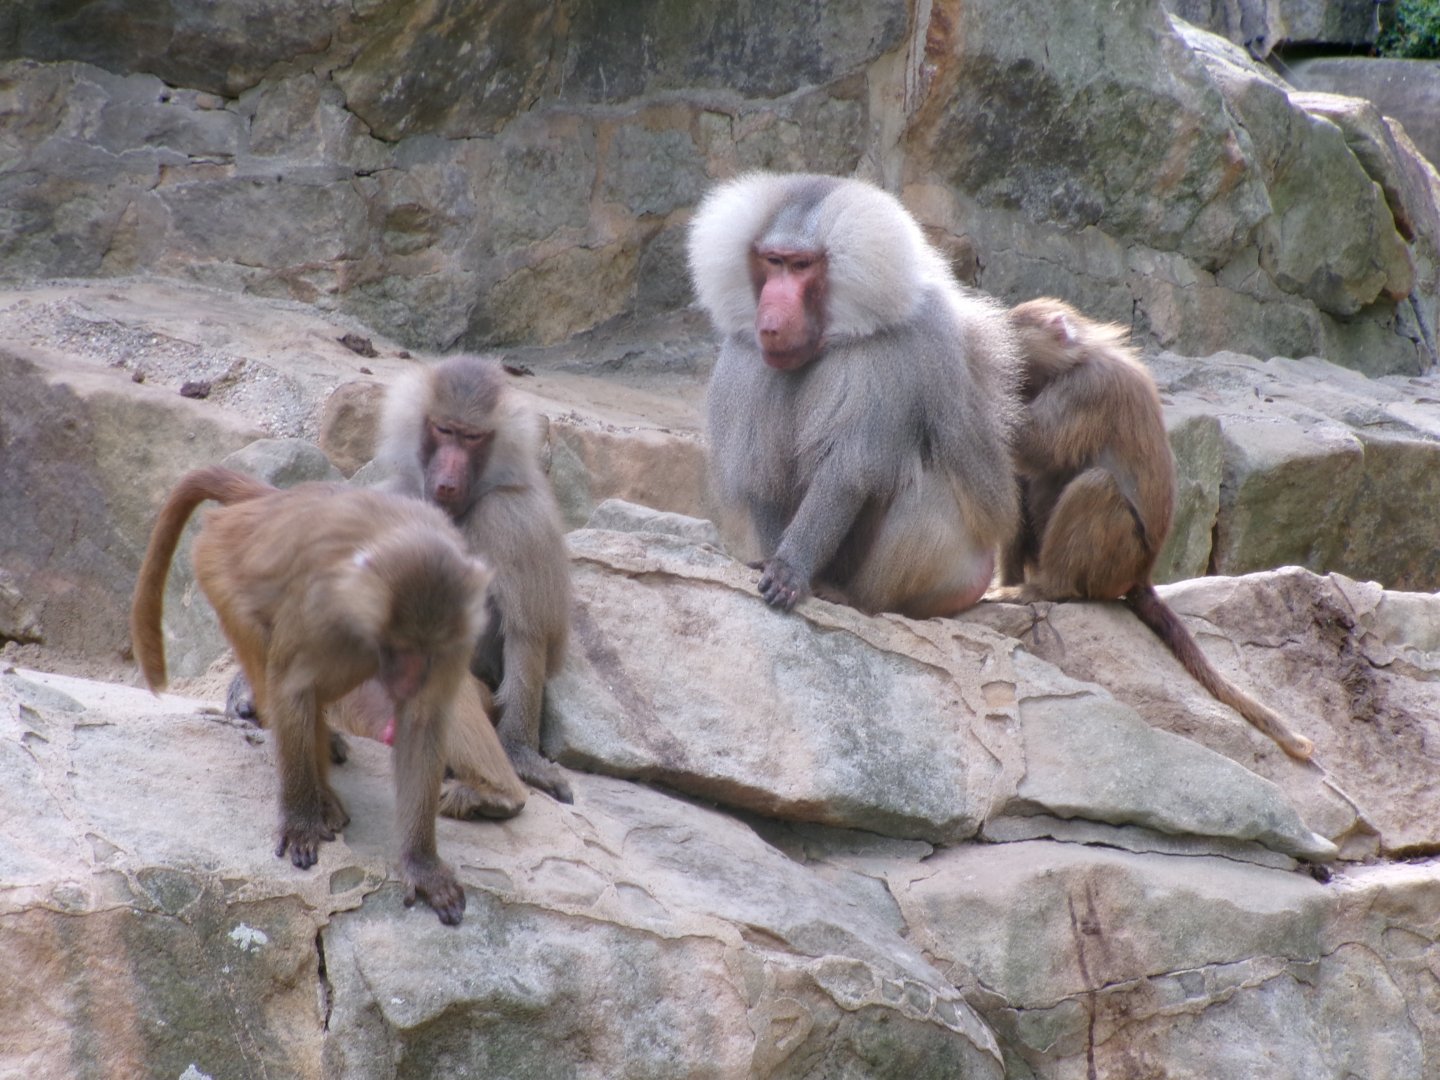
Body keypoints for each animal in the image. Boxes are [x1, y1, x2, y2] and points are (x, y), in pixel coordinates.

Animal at [130, 465, 503, 925]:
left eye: (429, 651)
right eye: (400, 647)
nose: (408, 679)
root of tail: (272, 502)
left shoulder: (459, 628)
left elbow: (423, 723)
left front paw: (422, 865)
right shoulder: (324, 605)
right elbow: (293, 687)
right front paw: (301, 820)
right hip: (218, 563)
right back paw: (319, 794)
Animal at [375, 354, 575, 804]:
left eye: (472, 438)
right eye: (444, 430)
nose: (448, 481)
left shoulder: (513, 519)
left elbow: (526, 634)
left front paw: (521, 755)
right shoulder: (395, 500)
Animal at [687, 172, 1020, 619]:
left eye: (801, 266)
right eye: (773, 261)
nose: (771, 321)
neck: (831, 338)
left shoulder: (882, 360)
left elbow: (846, 471)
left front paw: (789, 570)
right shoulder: (746, 361)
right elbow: (762, 472)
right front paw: (772, 560)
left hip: (958, 577)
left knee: (930, 487)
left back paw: (855, 600)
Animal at [992, 297, 1314, 762]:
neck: (1075, 357)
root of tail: (1141, 574)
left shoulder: (1090, 388)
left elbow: (1036, 444)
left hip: (1116, 560)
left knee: (1095, 487)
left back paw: (1044, 589)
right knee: (1024, 479)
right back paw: (1009, 585)